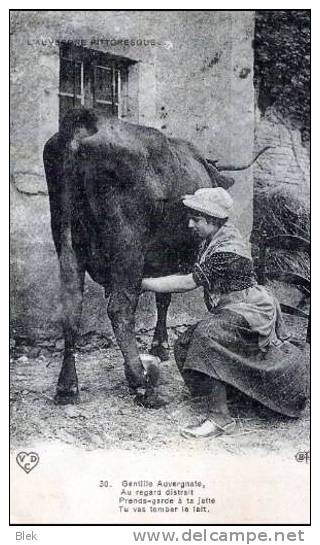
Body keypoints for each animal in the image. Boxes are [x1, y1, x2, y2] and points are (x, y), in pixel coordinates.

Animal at [43, 107, 235, 404]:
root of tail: (87, 122)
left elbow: (162, 296)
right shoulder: (175, 256)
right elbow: (164, 299)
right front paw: (160, 346)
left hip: (66, 240)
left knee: (71, 307)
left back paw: (67, 386)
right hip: (127, 246)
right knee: (120, 309)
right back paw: (140, 380)